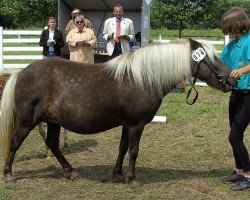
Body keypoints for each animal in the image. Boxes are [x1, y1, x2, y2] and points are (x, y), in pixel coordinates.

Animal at [0, 38, 237, 184]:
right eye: (213, 59)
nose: (233, 79)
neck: (143, 78)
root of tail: (21, 72)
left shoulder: (127, 124)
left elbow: (123, 148)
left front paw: (117, 174)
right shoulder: (136, 125)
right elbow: (133, 151)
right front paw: (132, 179)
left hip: (53, 122)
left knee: (52, 144)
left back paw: (70, 171)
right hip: (28, 121)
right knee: (15, 142)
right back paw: (9, 174)